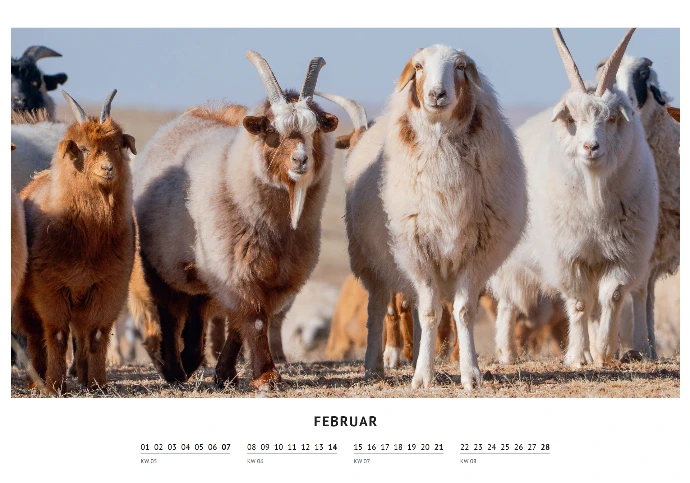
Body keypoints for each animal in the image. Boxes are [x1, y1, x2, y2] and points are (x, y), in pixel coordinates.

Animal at [14, 90, 136, 393]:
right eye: (82, 148)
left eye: (116, 145)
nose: (107, 169)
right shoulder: (49, 287)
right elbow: (56, 335)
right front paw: (55, 386)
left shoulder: (108, 286)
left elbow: (96, 335)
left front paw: (98, 384)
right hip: (26, 300)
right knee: (35, 336)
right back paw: (37, 379)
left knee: (81, 334)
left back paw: (81, 374)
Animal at [132, 52, 338, 389]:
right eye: (271, 130)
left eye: (315, 130)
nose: (300, 160)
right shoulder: (237, 273)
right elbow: (254, 322)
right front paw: (266, 376)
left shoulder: (274, 278)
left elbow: (243, 325)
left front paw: (226, 373)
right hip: (161, 265)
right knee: (169, 313)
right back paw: (175, 370)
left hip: (202, 269)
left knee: (198, 310)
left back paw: (192, 360)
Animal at [342, 44, 527, 390]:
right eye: (418, 66)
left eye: (461, 66)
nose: (437, 94)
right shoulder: (416, 250)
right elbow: (430, 313)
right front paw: (422, 378)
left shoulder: (477, 253)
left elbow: (462, 312)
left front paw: (470, 374)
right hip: (372, 261)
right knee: (378, 309)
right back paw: (374, 366)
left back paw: (416, 357)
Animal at [489, 29, 659, 368]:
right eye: (572, 120)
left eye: (612, 119)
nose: (590, 147)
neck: (594, 201)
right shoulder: (568, 256)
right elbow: (579, 303)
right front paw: (579, 356)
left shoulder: (622, 254)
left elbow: (612, 298)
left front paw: (604, 350)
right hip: (512, 260)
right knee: (508, 303)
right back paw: (507, 353)